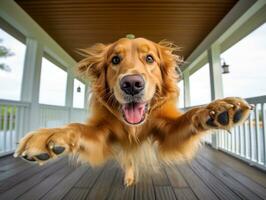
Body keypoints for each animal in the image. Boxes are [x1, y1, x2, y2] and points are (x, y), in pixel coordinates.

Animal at [14, 37, 251, 186]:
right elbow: (78, 127)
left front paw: (215, 109)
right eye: (115, 60)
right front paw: (49, 136)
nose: (131, 84)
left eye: (150, 58)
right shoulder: (101, 134)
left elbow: (189, 115)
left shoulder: (168, 131)